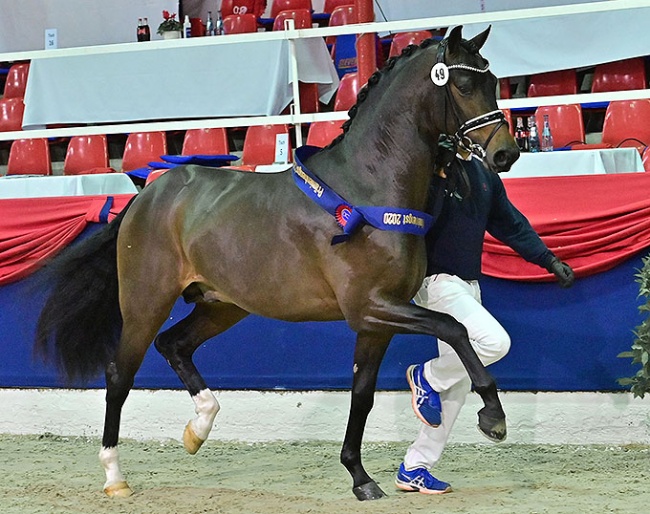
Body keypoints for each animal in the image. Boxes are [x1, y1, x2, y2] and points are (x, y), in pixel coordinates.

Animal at [36, 26, 516, 498]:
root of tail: (145, 195)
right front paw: (493, 417)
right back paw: (115, 476)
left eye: (494, 82)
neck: (367, 189)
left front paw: (360, 477)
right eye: (464, 84)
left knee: (174, 345)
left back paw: (199, 427)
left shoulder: (375, 321)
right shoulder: (370, 307)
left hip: (222, 304)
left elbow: (362, 395)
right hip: (145, 302)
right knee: (120, 374)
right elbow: (453, 328)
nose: (506, 154)